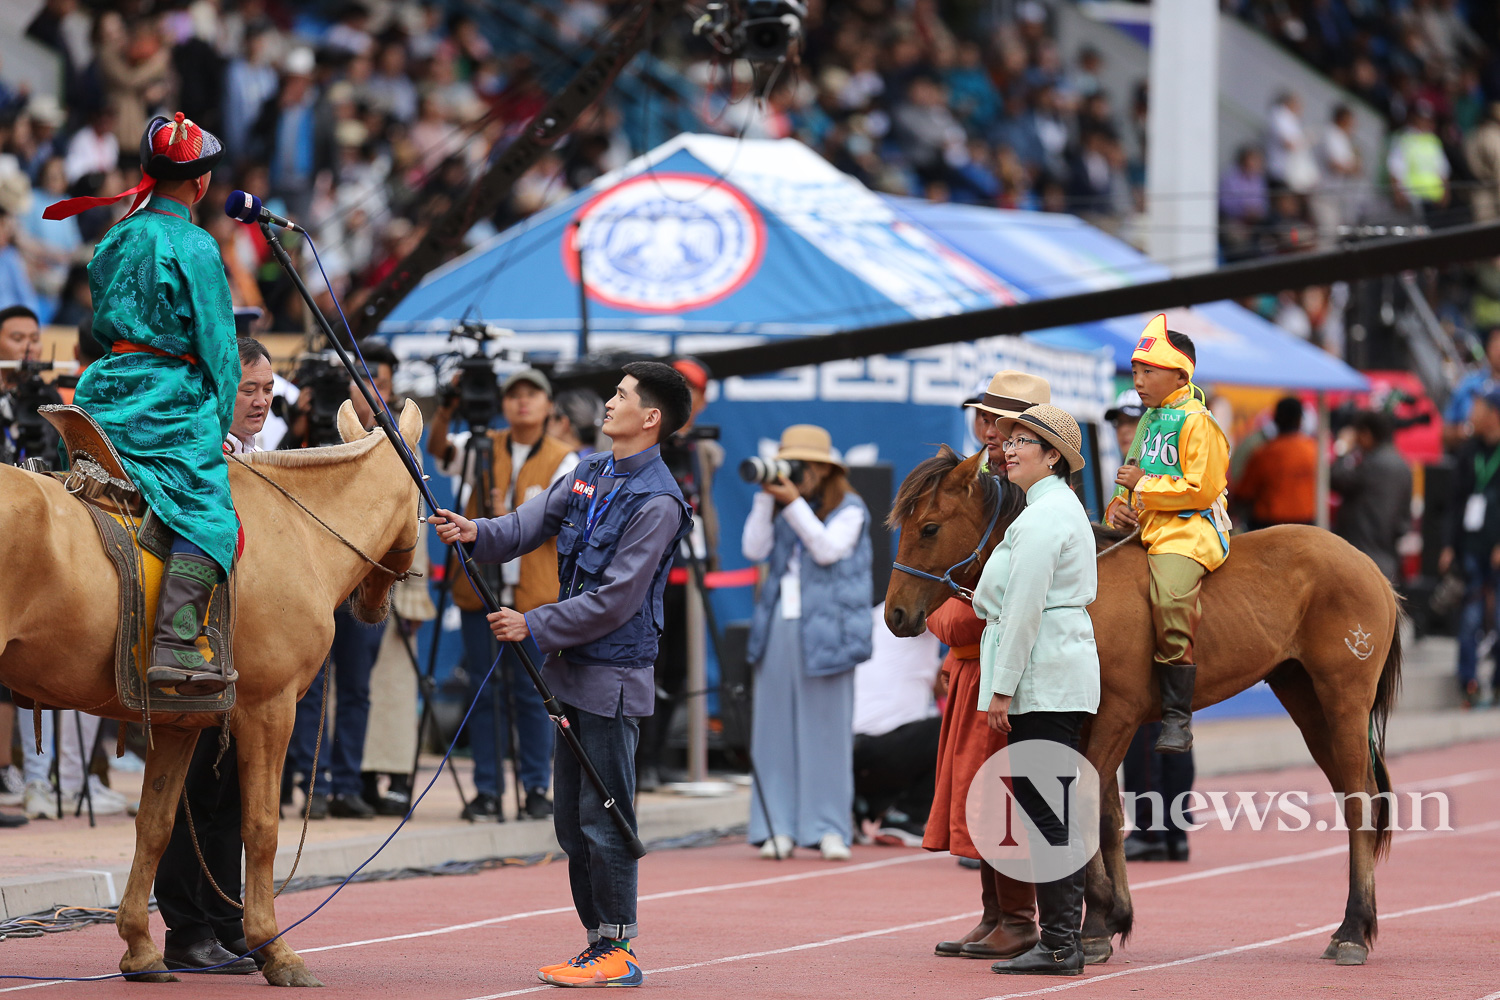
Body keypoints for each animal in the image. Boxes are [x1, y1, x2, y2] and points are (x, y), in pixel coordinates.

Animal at [0, 398, 423, 983]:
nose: (377, 606)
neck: (297, 529)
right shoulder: (270, 711)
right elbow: (261, 828)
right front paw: (273, 947)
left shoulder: (178, 721)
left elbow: (155, 826)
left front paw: (141, 947)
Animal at [882, 449, 1398, 965]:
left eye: (929, 528)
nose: (894, 615)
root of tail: (1368, 565)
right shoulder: (1086, 725)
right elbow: (1108, 816)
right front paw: (1107, 919)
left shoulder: (1117, 719)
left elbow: (1086, 804)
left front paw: (1093, 923)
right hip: (1306, 702)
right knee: (1357, 796)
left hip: (1343, 700)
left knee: (1359, 800)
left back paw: (1352, 930)